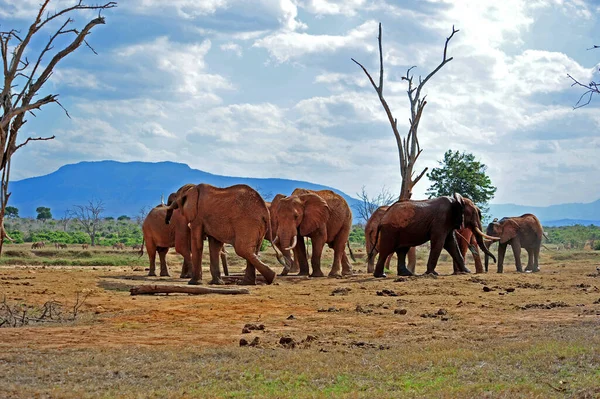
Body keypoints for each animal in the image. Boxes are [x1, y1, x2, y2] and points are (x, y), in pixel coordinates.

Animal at [368, 195, 500, 278]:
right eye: (475, 213)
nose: (494, 260)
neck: (456, 200)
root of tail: (383, 218)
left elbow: (451, 244)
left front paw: (467, 271)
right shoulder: (441, 221)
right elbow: (439, 243)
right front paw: (432, 274)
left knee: (402, 250)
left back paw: (406, 274)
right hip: (390, 230)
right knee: (386, 251)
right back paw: (381, 275)